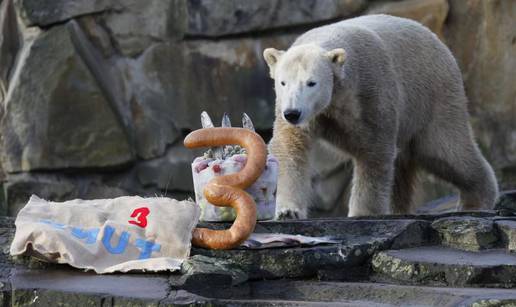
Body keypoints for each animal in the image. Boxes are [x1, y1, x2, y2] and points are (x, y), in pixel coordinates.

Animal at [264, 13, 498, 219]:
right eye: (283, 82)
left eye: (312, 82)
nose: (293, 113)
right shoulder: (298, 112)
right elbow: (290, 149)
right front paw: (288, 211)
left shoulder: (370, 92)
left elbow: (374, 151)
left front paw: (362, 213)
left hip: (433, 95)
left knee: (444, 150)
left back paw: (476, 199)